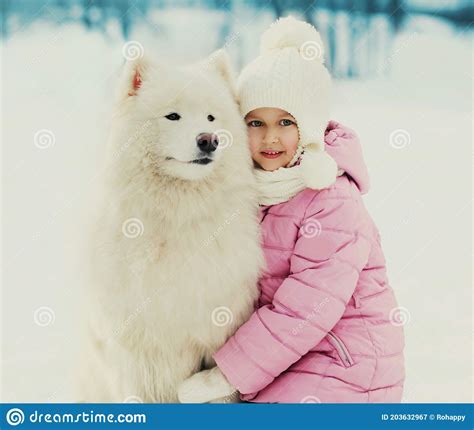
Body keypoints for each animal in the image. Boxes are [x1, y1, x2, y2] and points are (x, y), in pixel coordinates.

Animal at [77, 49, 262, 404]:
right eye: (172, 116)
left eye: (211, 118)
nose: (209, 140)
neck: (180, 215)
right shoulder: (137, 355)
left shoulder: (216, 336)